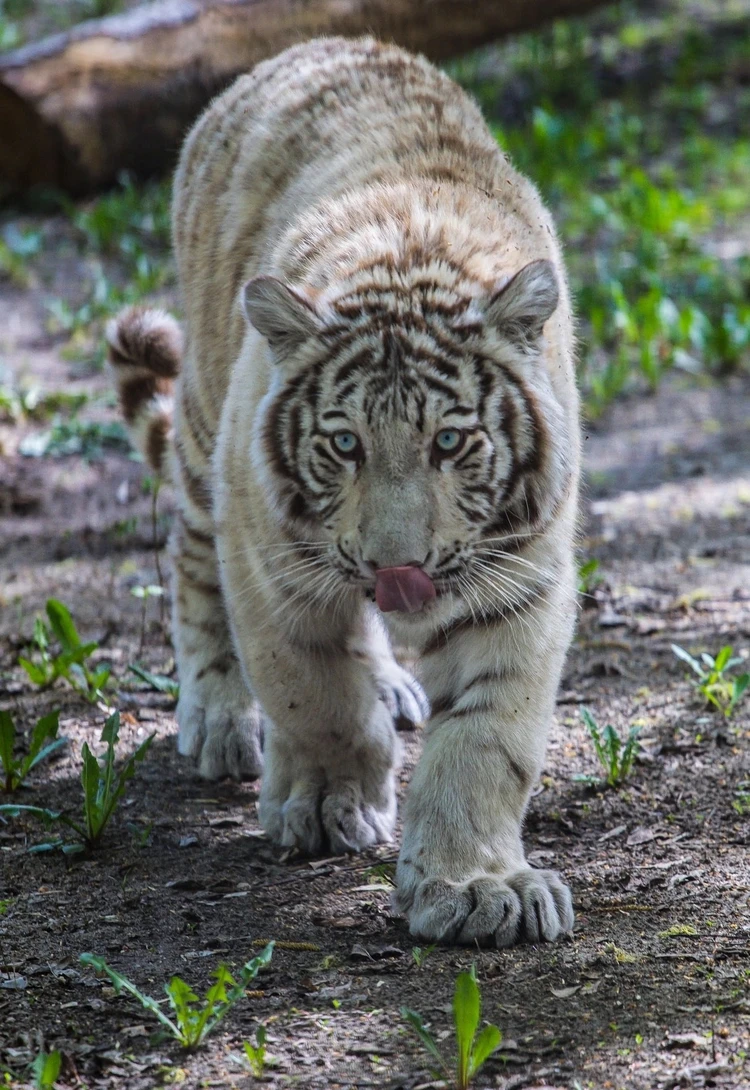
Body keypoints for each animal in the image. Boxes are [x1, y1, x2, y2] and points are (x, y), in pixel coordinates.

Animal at [110, 38, 579, 946]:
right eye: (344, 444)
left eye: (448, 441)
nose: (398, 567)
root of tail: (314, 45)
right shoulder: (269, 558)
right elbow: (312, 690)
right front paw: (328, 805)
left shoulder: (523, 579)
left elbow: (487, 739)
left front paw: (474, 886)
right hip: (205, 430)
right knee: (190, 556)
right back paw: (218, 718)